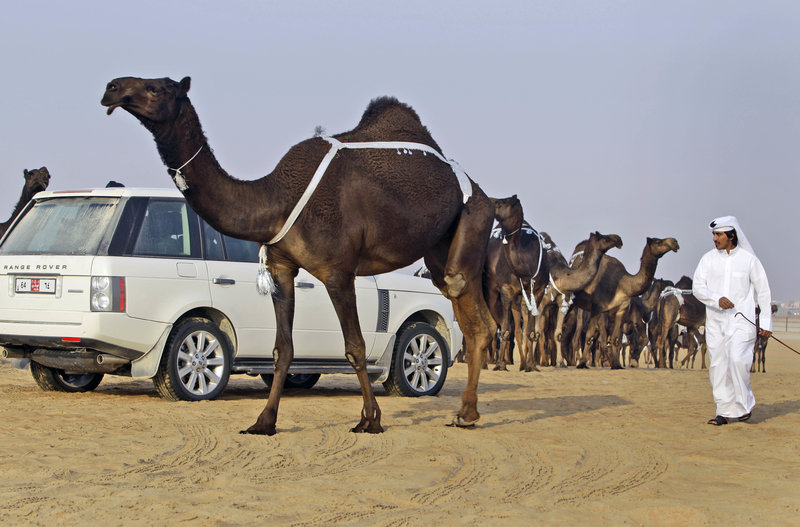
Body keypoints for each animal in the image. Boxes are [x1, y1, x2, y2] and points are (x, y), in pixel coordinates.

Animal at [101, 75, 494, 438]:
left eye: (157, 88)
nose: (112, 88)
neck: (276, 199)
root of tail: (480, 190)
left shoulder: (338, 271)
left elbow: (355, 346)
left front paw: (371, 420)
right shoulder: (281, 268)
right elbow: (282, 350)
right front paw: (263, 422)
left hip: (472, 219)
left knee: (468, 302)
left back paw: (467, 414)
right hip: (437, 250)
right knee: (471, 315)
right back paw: (466, 413)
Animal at [572, 237, 680, 370]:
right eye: (658, 241)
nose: (674, 242)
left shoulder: (622, 309)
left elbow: (616, 339)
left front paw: (617, 363)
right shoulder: (614, 312)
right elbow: (608, 340)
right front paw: (624, 361)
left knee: (586, 336)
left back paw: (582, 363)